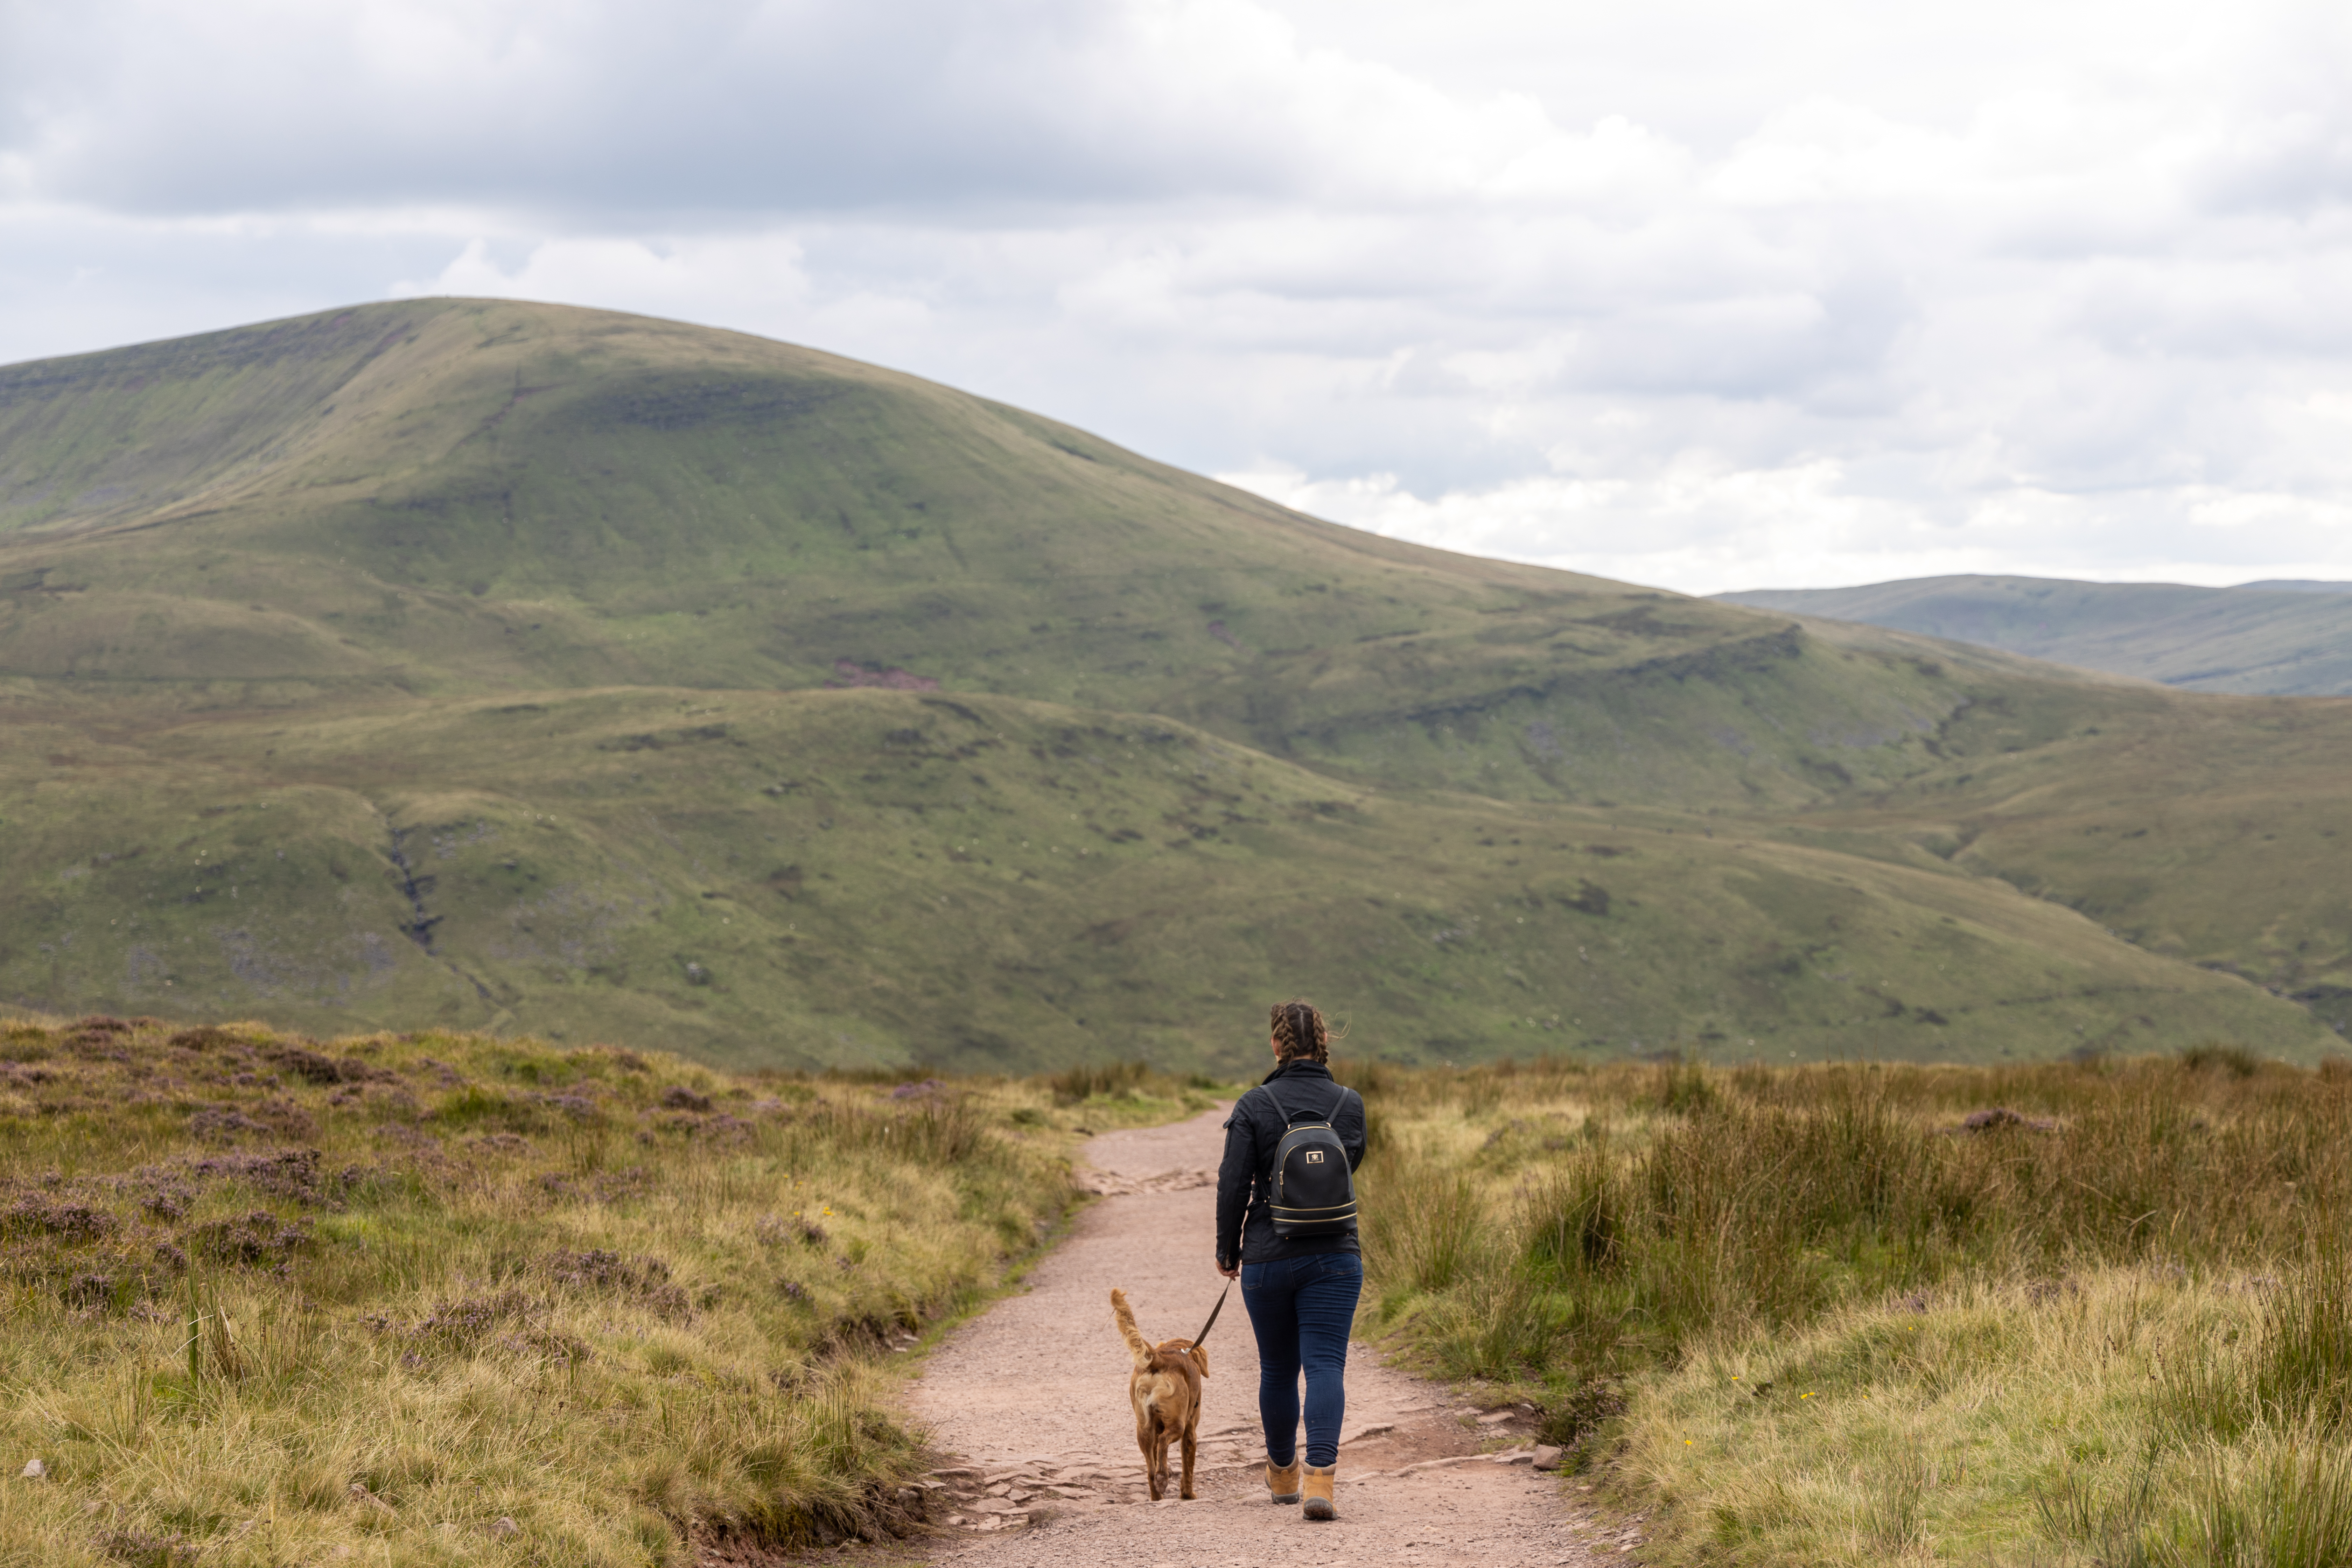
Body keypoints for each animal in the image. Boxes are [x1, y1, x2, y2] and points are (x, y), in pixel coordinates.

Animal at [1105, 1297, 1204, 1504]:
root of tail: (1159, 1359)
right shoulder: (1191, 1431)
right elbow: (1188, 1467)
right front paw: (1188, 1495)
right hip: (1178, 1424)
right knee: (1164, 1441)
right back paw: (1163, 1478)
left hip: (1144, 1428)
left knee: (1151, 1467)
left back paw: (1156, 1495)